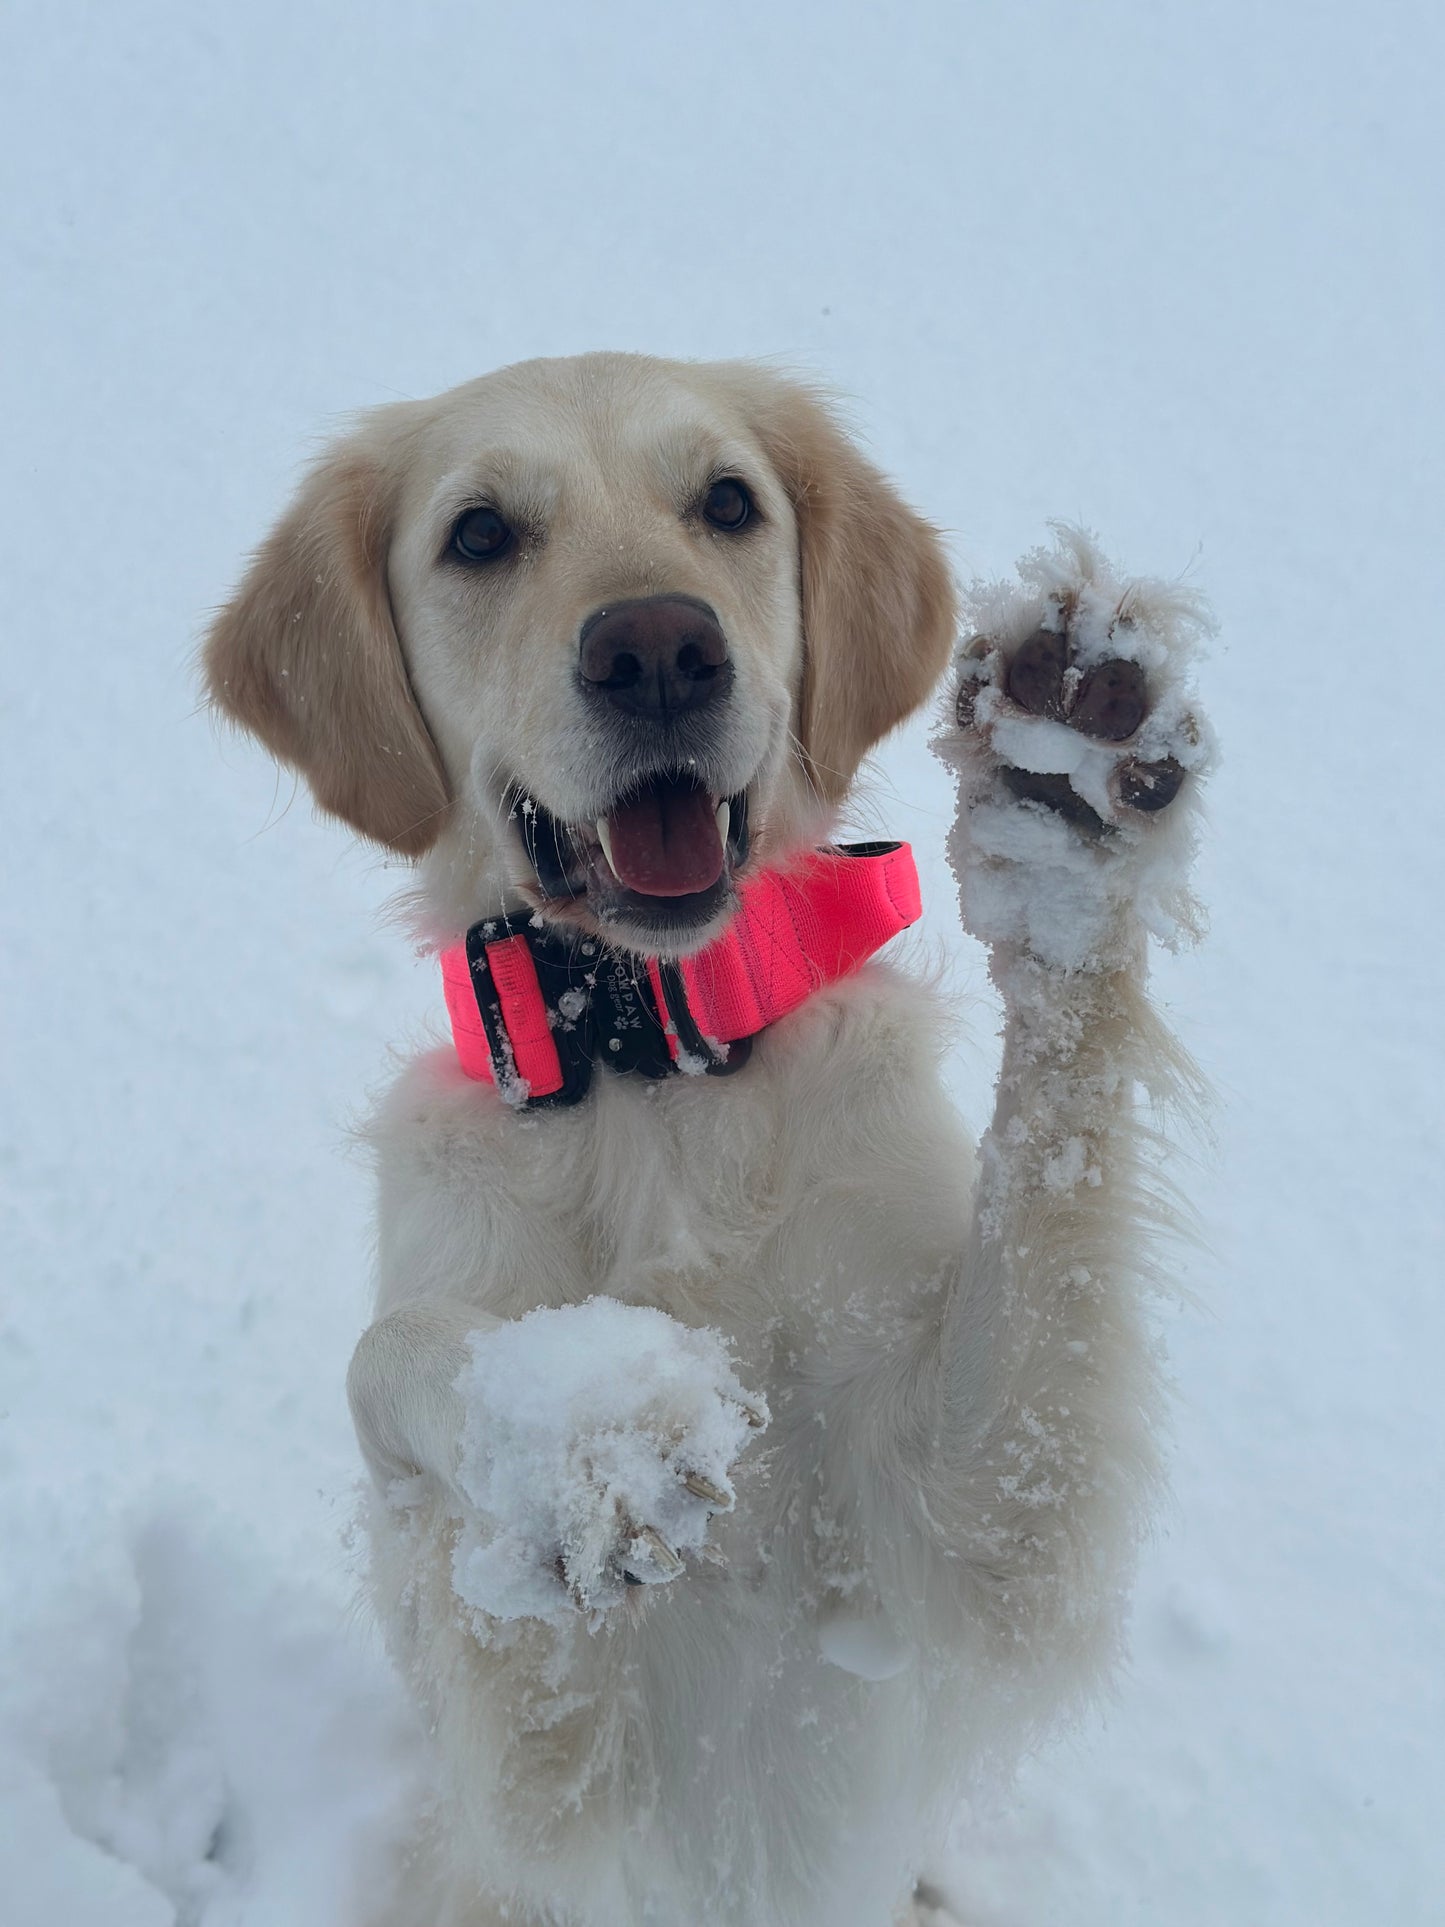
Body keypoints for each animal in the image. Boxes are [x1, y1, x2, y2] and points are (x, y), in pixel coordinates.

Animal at [204, 354, 1217, 1919]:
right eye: (479, 534)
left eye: (727, 503)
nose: (658, 650)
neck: (651, 1061)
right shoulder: (546, 1772)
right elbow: (392, 1354)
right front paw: (578, 1435)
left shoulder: (964, 1520)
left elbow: (1043, 1200)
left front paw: (1066, 811)